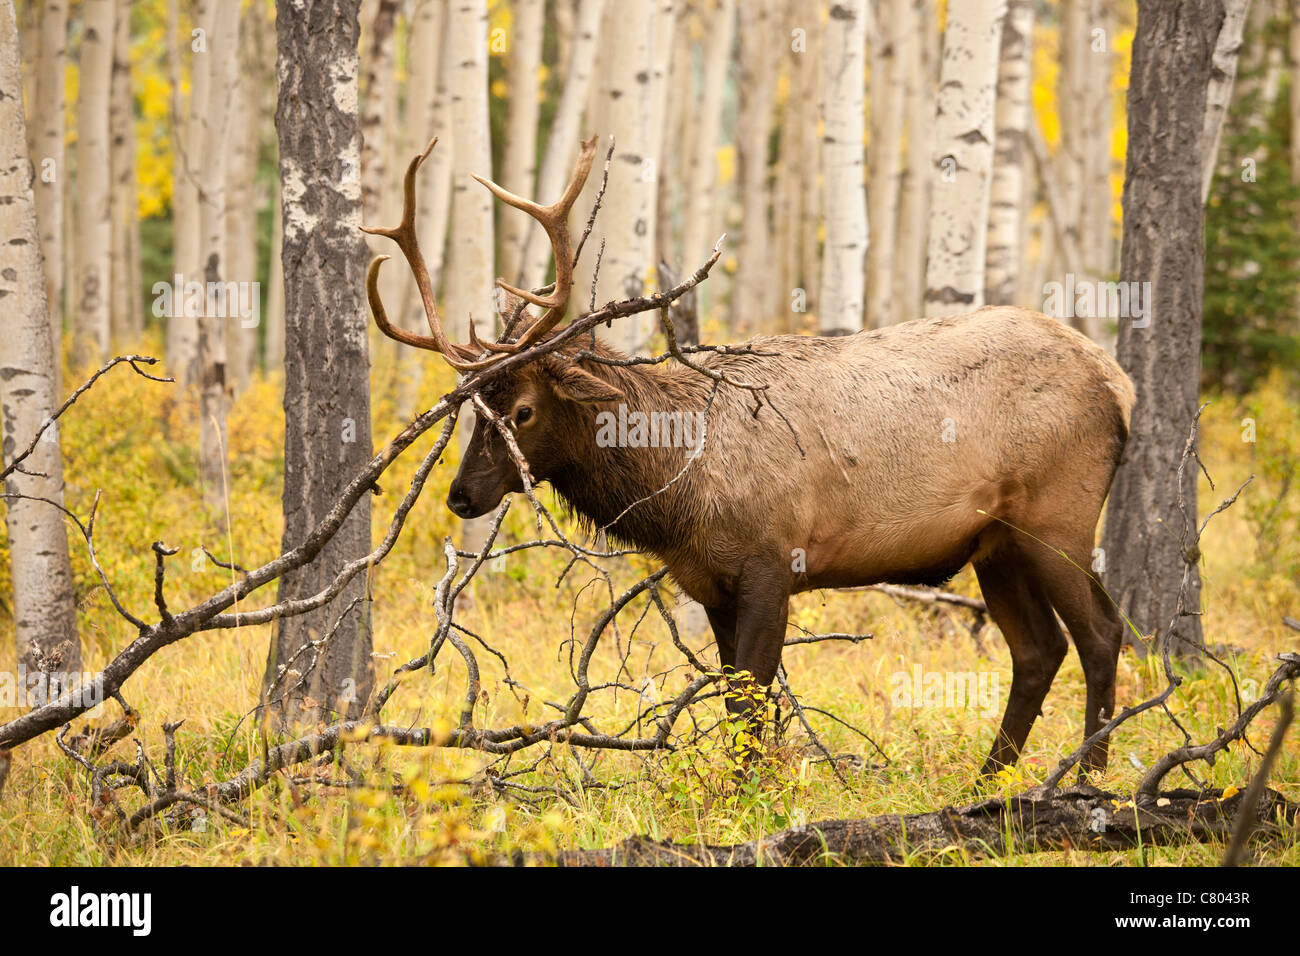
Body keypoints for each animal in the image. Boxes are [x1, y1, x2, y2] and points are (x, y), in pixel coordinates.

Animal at [361, 134, 1133, 780]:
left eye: (521, 409)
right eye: (473, 407)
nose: (461, 495)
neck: (677, 490)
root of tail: (1118, 384)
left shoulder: (770, 559)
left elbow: (757, 695)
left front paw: (753, 793)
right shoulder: (708, 580)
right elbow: (736, 698)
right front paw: (745, 787)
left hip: (1057, 516)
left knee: (1101, 633)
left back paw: (1086, 777)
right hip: (994, 542)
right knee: (1038, 650)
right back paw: (989, 779)